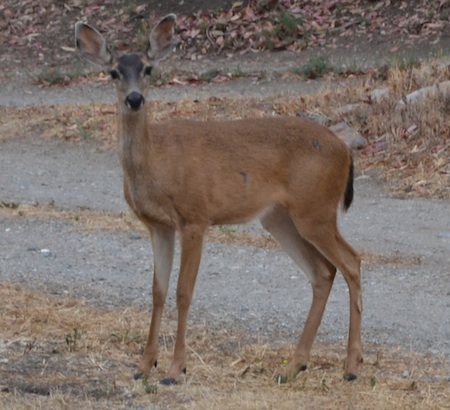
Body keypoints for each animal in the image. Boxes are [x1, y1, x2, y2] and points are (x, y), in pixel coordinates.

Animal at [74, 12, 362, 384]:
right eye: (113, 72)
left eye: (149, 69)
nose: (135, 99)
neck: (157, 163)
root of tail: (345, 150)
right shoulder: (158, 225)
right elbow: (157, 291)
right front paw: (144, 365)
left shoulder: (195, 216)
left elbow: (183, 292)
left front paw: (175, 369)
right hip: (279, 218)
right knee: (324, 272)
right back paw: (295, 365)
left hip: (316, 209)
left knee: (351, 261)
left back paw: (352, 366)